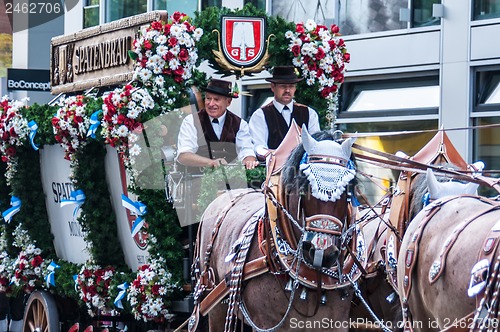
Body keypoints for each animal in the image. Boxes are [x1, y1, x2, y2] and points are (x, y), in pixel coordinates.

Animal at [186, 126, 366, 330]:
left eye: (348, 188)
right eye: (304, 186)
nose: (323, 250)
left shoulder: (337, 322)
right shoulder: (267, 324)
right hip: (215, 306)